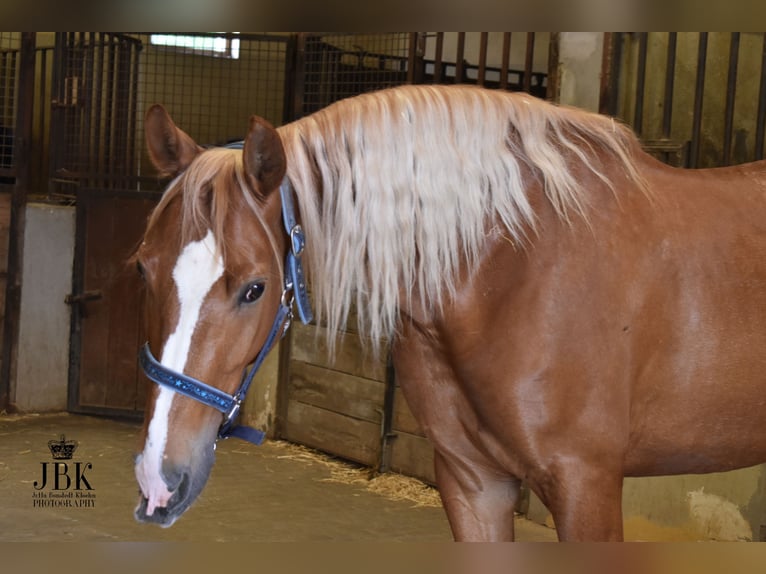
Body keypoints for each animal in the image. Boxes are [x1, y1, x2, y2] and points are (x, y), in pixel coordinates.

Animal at [132, 84, 766, 541]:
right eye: (142, 268)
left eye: (254, 288)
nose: (157, 481)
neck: (515, 263)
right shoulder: (474, 486)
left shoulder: (587, 485)